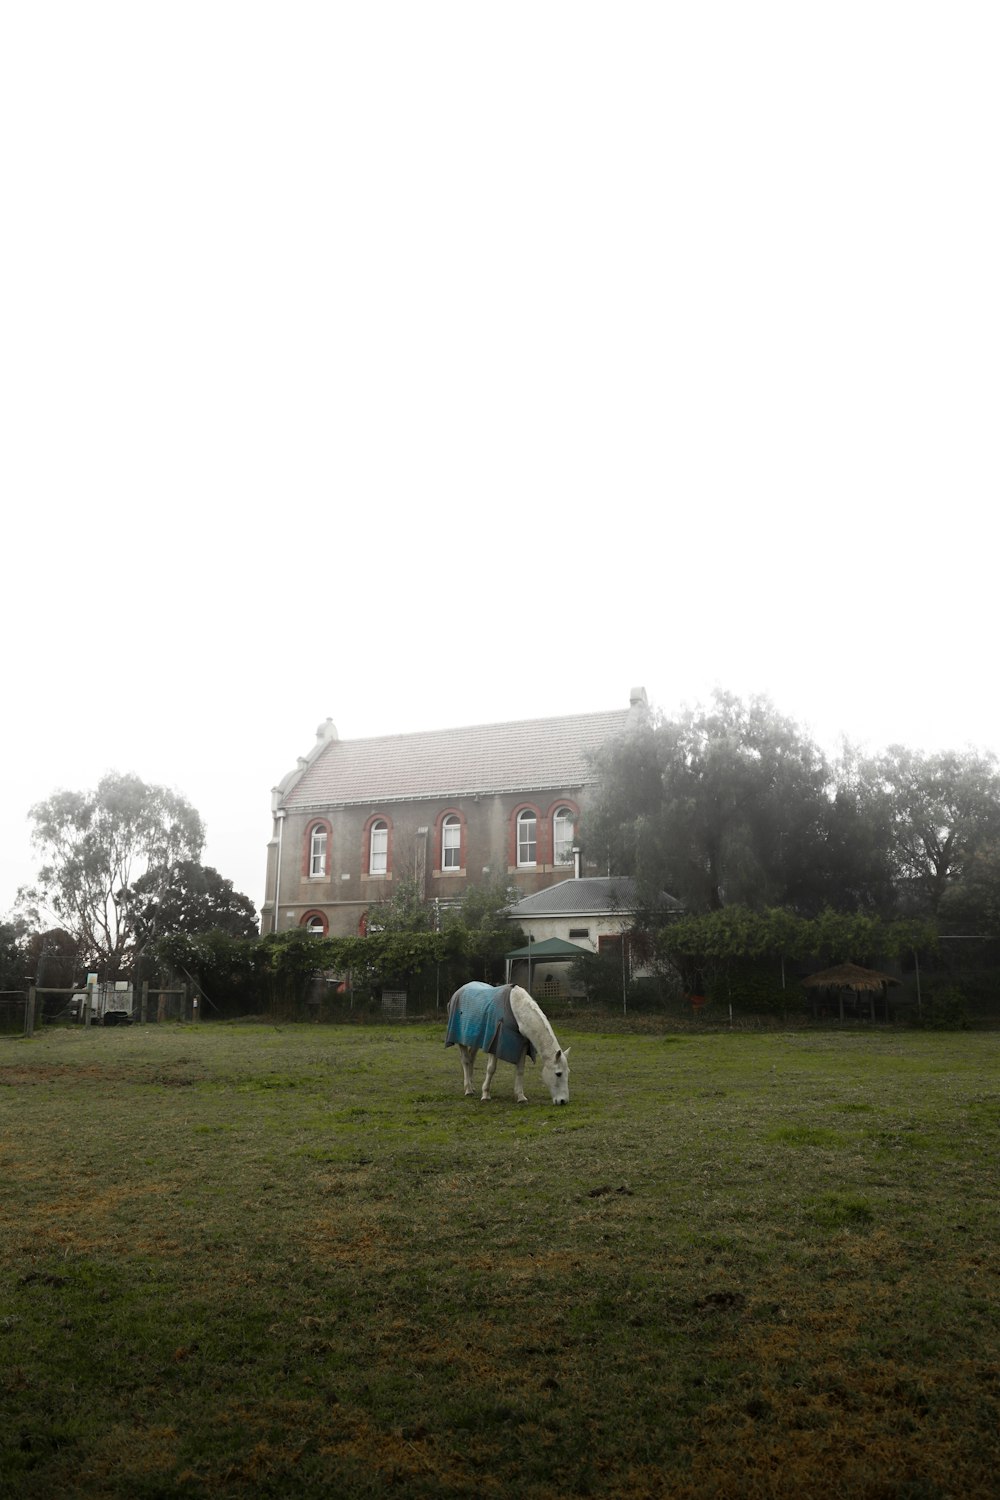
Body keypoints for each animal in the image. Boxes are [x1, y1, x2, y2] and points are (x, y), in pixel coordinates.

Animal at [446, 978, 569, 1110]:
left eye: (567, 1073)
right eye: (558, 1074)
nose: (563, 1101)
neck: (516, 1009)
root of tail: (459, 990)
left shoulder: (522, 1045)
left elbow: (520, 1070)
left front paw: (520, 1097)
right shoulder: (495, 1044)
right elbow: (491, 1069)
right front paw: (485, 1095)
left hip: (475, 1040)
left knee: (471, 1059)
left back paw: (472, 1087)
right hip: (460, 1039)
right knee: (465, 1060)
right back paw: (468, 1089)